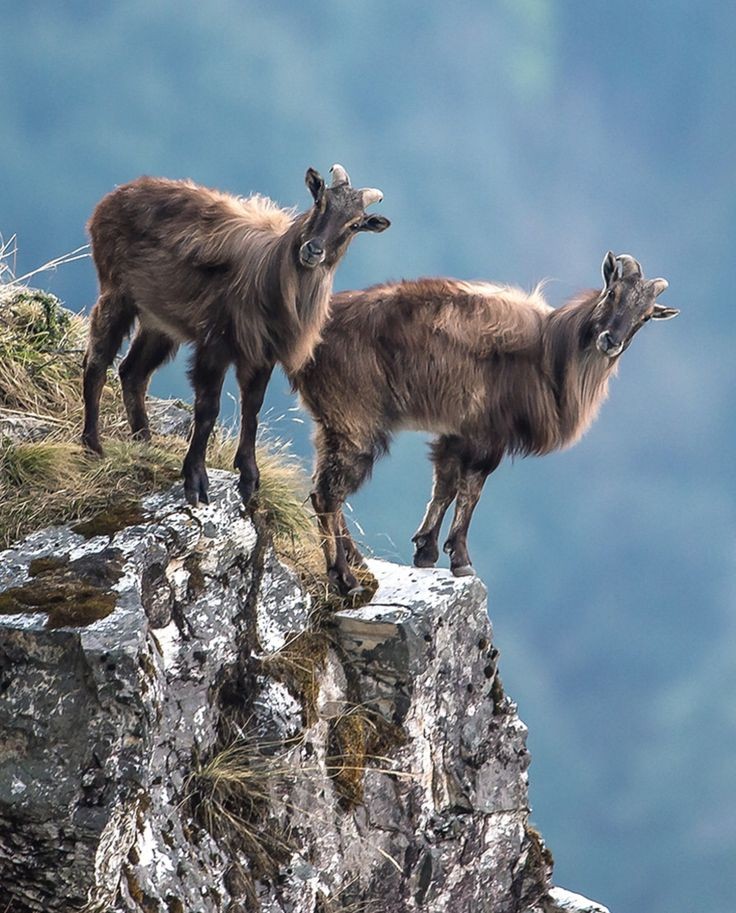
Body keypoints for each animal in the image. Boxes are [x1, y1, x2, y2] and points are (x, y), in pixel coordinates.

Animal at [82, 164, 389, 506]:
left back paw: (145, 443)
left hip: (158, 322)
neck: (272, 276)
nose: (313, 250)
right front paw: (196, 480)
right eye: (320, 202)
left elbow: (252, 408)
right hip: (118, 293)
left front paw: (249, 479)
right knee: (97, 362)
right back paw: (93, 445)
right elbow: (208, 408)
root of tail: (114, 197)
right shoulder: (215, 343)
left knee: (132, 373)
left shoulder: (262, 355)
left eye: (354, 224)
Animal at [293, 252, 678, 594]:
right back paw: (346, 579)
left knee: (325, 488)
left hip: (331, 423)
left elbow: (445, 484)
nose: (610, 341)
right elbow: (471, 490)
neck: (550, 353)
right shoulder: (487, 434)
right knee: (328, 494)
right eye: (612, 293)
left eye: (645, 316)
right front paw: (460, 559)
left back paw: (358, 564)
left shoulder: (456, 431)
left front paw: (425, 550)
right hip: (354, 419)